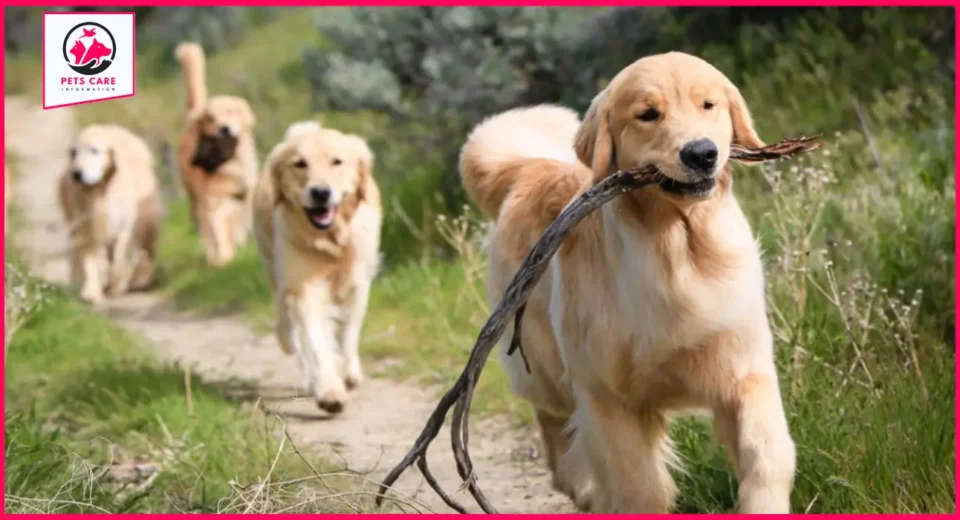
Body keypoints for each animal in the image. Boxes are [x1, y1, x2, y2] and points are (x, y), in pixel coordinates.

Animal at [57, 124, 159, 304]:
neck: (99, 190)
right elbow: (89, 261)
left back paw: (140, 280)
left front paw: (117, 284)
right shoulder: (85, 227)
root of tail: (113, 128)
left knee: (146, 247)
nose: (77, 174)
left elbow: (120, 256)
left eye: (94, 150)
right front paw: (91, 292)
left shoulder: (124, 226)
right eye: (74, 152)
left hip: (146, 218)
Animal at [175, 42, 258, 266]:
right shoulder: (212, 202)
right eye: (211, 119)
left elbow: (241, 221)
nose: (224, 129)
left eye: (230, 111)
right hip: (195, 198)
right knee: (203, 227)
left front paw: (239, 241)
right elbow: (218, 231)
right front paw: (224, 258)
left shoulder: (245, 193)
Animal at [255, 120, 382, 412]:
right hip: (274, 265)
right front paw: (329, 391)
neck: (330, 242)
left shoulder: (357, 284)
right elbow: (314, 341)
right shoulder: (304, 286)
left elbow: (348, 334)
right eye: (300, 164)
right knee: (289, 326)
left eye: (337, 161)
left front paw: (346, 371)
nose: (320, 192)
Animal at [458, 50, 796, 512]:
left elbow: (767, 452)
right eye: (647, 114)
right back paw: (581, 488)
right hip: (544, 364)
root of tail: (530, 167)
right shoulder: (607, 395)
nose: (701, 153)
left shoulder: (743, 370)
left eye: (708, 105)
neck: (676, 248)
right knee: (554, 425)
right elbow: (639, 486)